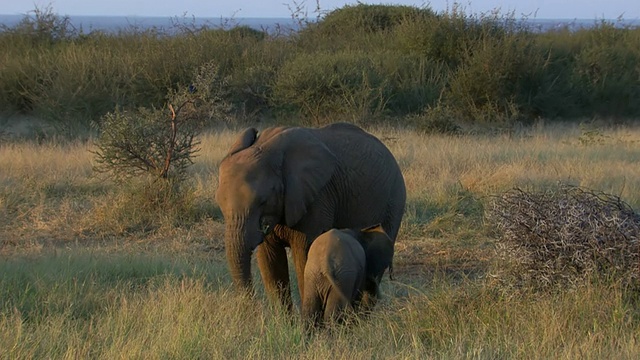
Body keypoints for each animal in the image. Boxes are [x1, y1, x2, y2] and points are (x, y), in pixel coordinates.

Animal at [215, 122, 404, 308]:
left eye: (263, 201)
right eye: (220, 204)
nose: (252, 308)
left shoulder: (318, 198)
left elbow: (304, 254)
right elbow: (270, 260)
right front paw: (282, 318)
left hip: (393, 202)